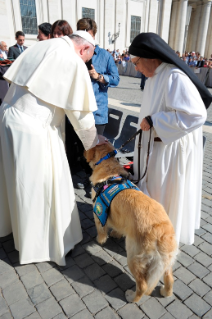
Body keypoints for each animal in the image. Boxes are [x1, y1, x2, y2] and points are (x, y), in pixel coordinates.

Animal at [83, 144, 178, 304]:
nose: (84, 151)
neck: (109, 169)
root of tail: (162, 234)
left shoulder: (97, 211)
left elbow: (101, 230)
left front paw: (100, 240)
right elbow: (118, 228)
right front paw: (115, 234)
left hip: (133, 256)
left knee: (143, 285)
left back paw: (131, 297)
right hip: (165, 262)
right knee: (170, 278)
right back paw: (166, 292)